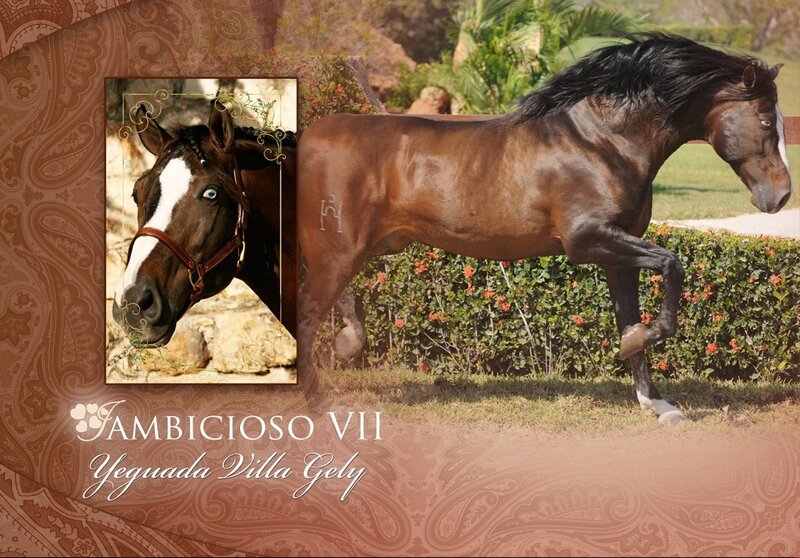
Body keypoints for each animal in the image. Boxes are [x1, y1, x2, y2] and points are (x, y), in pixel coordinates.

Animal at [297, 34, 792, 424]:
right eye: (767, 120)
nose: (782, 195)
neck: (604, 143)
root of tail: (308, 139)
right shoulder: (587, 240)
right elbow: (672, 265)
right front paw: (630, 348)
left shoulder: (619, 255)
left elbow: (632, 315)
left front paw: (656, 402)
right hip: (338, 250)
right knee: (305, 313)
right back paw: (318, 402)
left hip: (362, 248)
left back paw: (346, 345)